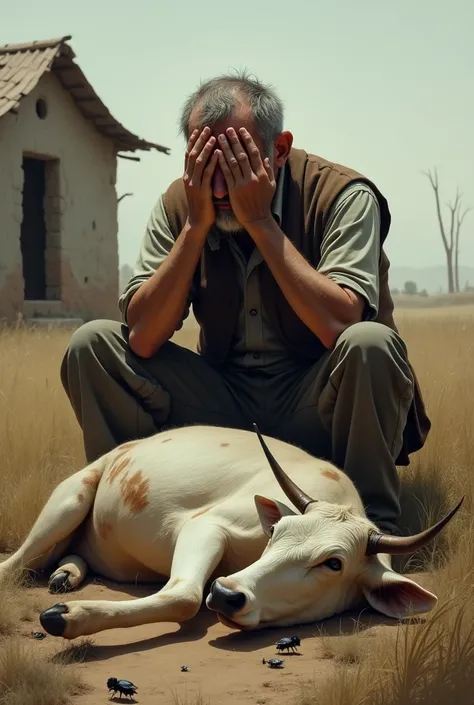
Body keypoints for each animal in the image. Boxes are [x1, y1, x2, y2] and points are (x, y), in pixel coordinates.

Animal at [0, 424, 462, 640]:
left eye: (334, 563)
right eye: (277, 533)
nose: (226, 594)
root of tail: (124, 448)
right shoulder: (206, 526)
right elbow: (185, 595)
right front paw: (68, 617)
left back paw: (67, 574)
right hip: (69, 502)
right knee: (17, 563)